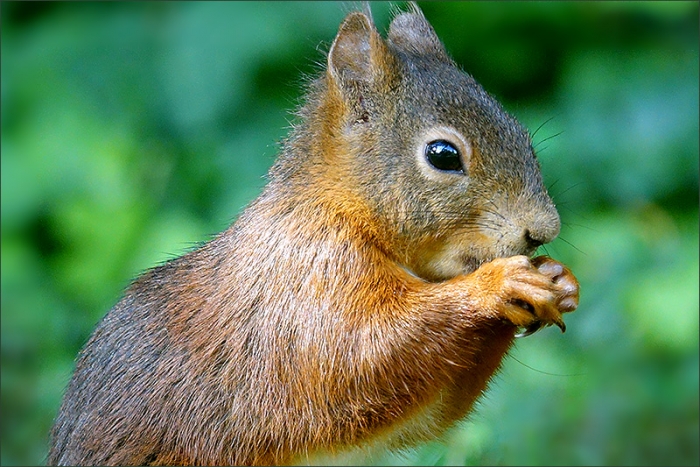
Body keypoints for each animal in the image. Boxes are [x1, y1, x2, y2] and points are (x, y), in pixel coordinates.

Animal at [48, 4, 579, 466]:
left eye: (523, 134)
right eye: (443, 155)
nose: (543, 229)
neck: (338, 210)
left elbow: (427, 413)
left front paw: (559, 279)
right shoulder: (306, 286)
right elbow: (363, 356)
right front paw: (498, 285)